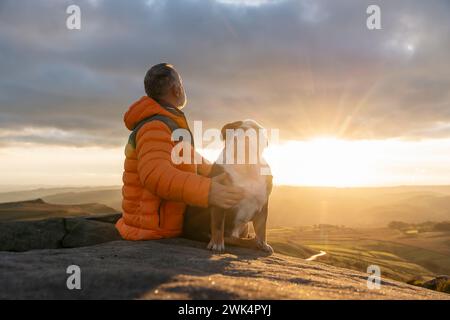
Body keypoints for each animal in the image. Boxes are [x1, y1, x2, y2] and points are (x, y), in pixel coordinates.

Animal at [184, 119, 274, 254]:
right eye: (236, 126)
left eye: (258, 130)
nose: (246, 129)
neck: (246, 165)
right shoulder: (221, 198)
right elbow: (218, 224)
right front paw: (216, 244)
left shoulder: (263, 205)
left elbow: (261, 228)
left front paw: (263, 244)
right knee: (220, 236)